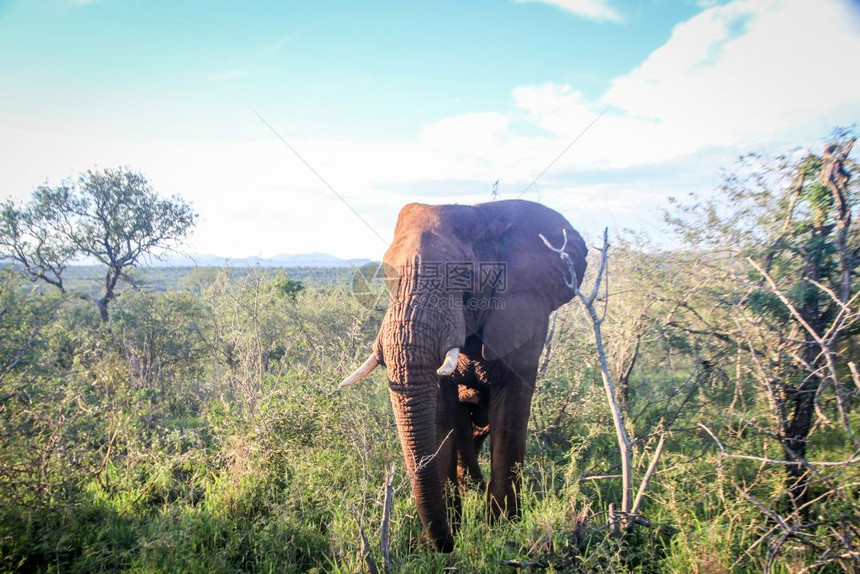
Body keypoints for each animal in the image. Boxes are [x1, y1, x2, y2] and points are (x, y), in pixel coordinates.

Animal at [340, 199, 588, 552]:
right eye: (386, 278)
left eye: (466, 278)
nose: (445, 546)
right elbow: (443, 412)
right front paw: (452, 527)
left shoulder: (525, 310)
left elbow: (510, 409)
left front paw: (502, 528)